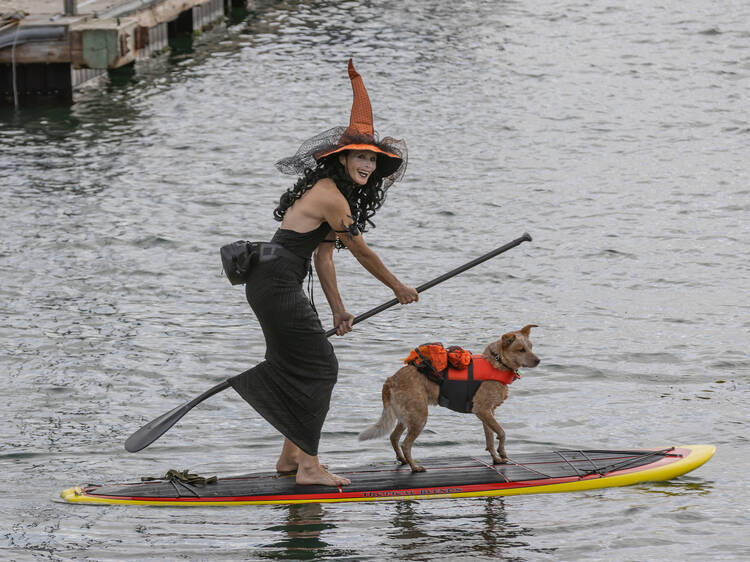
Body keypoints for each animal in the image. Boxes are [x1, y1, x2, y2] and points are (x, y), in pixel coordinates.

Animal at [360, 322, 540, 470]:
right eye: (521, 349)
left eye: (531, 347)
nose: (538, 360)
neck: (498, 362)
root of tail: (391, 380)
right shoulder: (483, 410)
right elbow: (501, 433)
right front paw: (502, 452)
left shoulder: (487, 413)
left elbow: (489, 437)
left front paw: (496, 458)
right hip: (419, 416)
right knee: (406, 444)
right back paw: (414, 467)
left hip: (406, 416)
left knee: (393, 437)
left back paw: (402, 460)